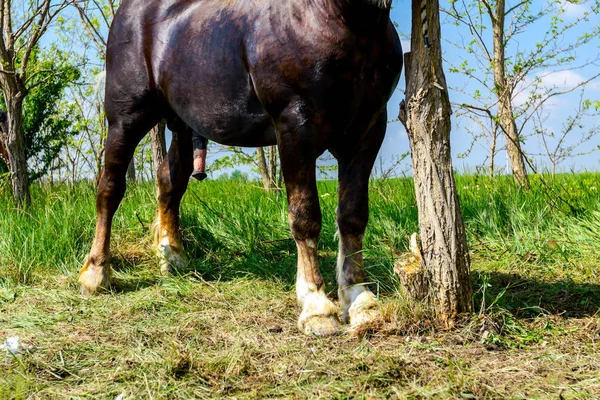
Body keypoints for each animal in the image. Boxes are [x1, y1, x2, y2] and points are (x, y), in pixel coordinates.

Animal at [77, 0, 400, 336]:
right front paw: (317, 306)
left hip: (182, 124)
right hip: (126, 119)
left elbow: (353, 215)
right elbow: (305, 216)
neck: (341, 20)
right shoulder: (295, 128)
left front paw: (359, 299)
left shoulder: (367, 132)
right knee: (110, 189)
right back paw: (96, 273)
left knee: (169, 183)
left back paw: (172, 256)